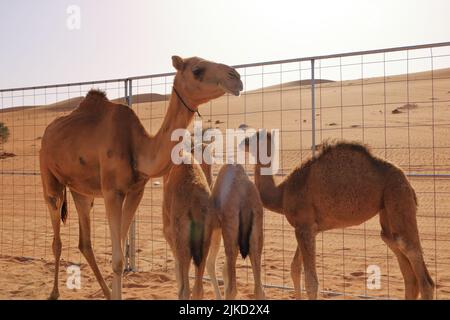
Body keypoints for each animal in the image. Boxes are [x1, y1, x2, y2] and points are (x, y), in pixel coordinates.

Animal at [38, 55, 243, 300]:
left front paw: (115, 293)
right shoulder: (112, 192)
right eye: (197, 69)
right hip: (50, 178)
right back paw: (54, 293)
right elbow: (118, 259)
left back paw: (105, 292)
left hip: (81, 191)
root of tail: (47, 132)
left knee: (85, 242)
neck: (138, 148)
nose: (236, 77)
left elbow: (120, 246)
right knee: (56, 238)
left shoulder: (136, 191)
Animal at [207, 164, 268, 302]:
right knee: (259, 290)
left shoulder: (216, 226)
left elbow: (211, 264)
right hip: (256, 235)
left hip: (229, 234)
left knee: (232, 289)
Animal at [244, 130, 434, 300]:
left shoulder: (304, 227)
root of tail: (408, 182)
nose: (242, 142)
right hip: (387, 213)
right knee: (403, 264)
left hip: (398, 196)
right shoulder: (307, 228)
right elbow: (294, 269)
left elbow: (311, 281)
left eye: (255, 137)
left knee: (417, 266)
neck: (282, 194)